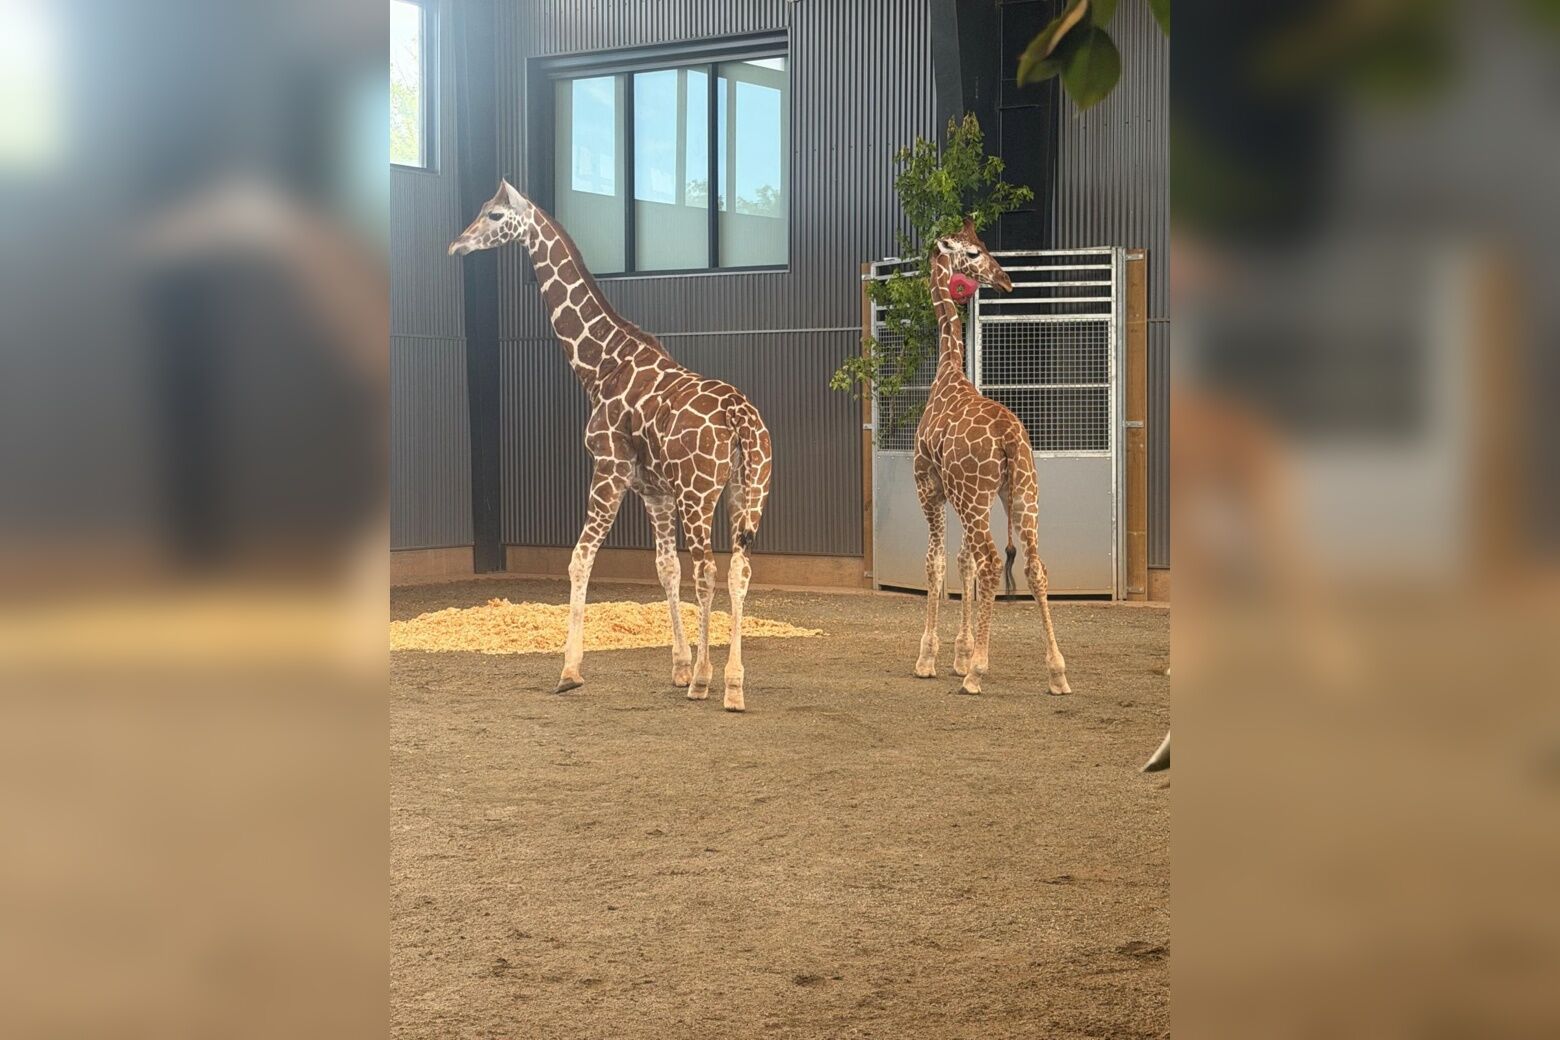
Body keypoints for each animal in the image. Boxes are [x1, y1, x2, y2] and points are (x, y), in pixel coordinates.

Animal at [449, 180, 773, 712]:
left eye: (494, 215)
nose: (457, 245)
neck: (601, 365)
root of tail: (740, 419)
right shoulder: (654, 491)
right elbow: (665, 568)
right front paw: (679, 667)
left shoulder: (609, 468)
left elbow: (581, 558)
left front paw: (570, 671)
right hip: (747, 492)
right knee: (738, 570)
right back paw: (733, 684)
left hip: (699, 494)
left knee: (709, 569)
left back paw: (708, 680)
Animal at [911, 218, 1071, 697]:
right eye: (974, 252)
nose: (1006, 279)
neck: (947, 373)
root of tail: (1009, 439)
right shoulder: (959, 496)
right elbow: (961, 562)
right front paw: (960, 653)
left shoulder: (930, 487)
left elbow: (937, 562)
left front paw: (932, 658)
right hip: (1021, 493)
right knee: (1034, 565)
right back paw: (1057, 672)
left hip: (976, 496)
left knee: (993, 560)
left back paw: (977, 673)